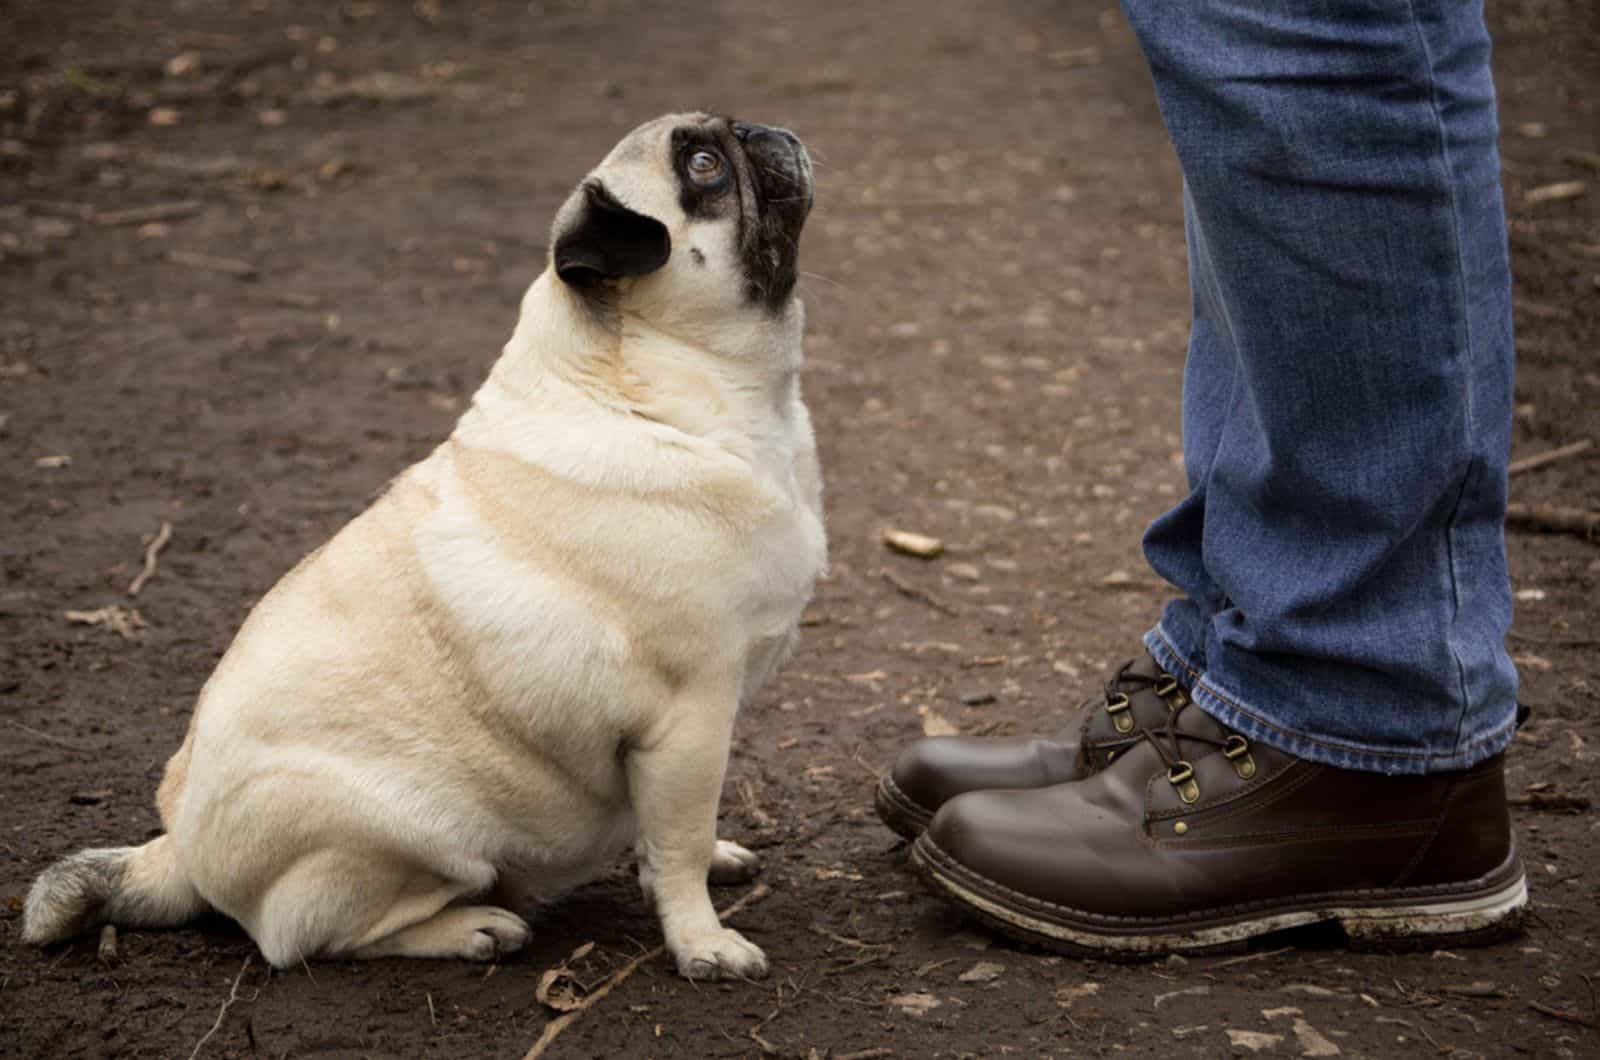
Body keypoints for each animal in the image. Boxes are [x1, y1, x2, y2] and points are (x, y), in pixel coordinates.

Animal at [21, 112, 825, 986]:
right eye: (705, 166)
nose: (764, 129)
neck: (654, 384)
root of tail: (178, 852)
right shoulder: (689, 716)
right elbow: (677, 844)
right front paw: (701, 942)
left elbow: (676, 835)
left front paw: (712, 865)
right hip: (414, 837)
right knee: (312, 938)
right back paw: (473, 928)